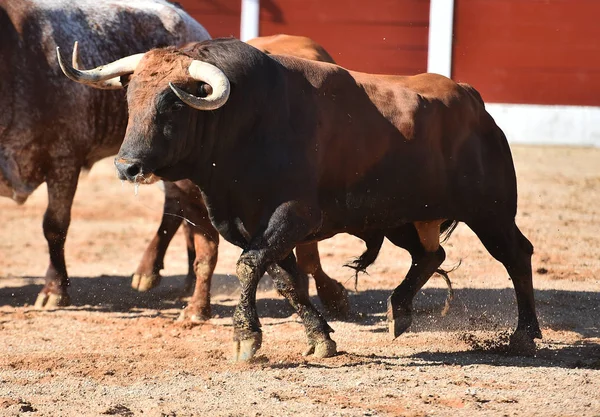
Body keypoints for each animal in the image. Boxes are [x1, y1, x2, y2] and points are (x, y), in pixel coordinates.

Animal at [58, 37, 540, 360]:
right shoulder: (249, 224)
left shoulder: (294, 216)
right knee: (430, 256)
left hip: (491, 211)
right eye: (130, 97)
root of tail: (474, 102)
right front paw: (320, 339)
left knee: (516, 254)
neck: (245, 122)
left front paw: (246, 339)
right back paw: (398, 311)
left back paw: (525, 335)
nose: (127, 167)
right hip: (400, 217)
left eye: (173, 104)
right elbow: (284, 279)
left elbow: (250, 265)